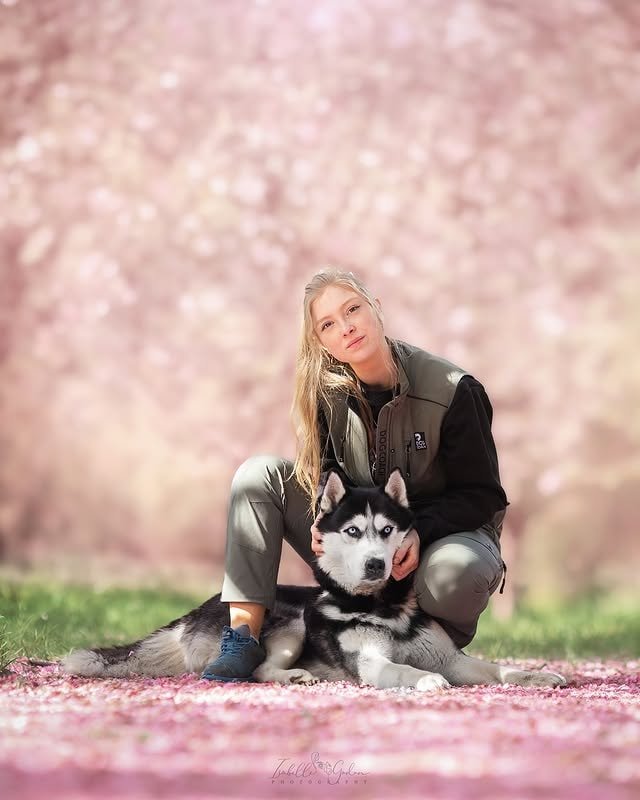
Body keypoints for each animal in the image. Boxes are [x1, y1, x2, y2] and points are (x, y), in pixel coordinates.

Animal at [63, 472, 564, 692]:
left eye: (387, 531)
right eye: (353, 532)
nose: (375, 565)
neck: (382, 607)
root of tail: (197, 611)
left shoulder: (452, 658)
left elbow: (495, 669)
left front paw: (536, 674)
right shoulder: (372, 664)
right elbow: (403, 669)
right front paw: (425, 681)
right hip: (291, 622)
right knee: (259, 670)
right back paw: (295, 675)